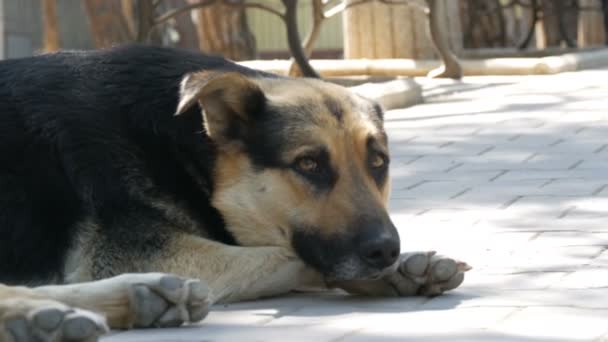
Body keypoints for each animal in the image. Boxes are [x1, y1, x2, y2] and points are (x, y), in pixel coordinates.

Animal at [0, 45, 470, 342]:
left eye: (378, 162)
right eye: (308, 164)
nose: (386, 250)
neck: (182, 142)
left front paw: (406, 266)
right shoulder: (129, 250)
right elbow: (289, 256)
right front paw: (392, 272)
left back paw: (133, 300)